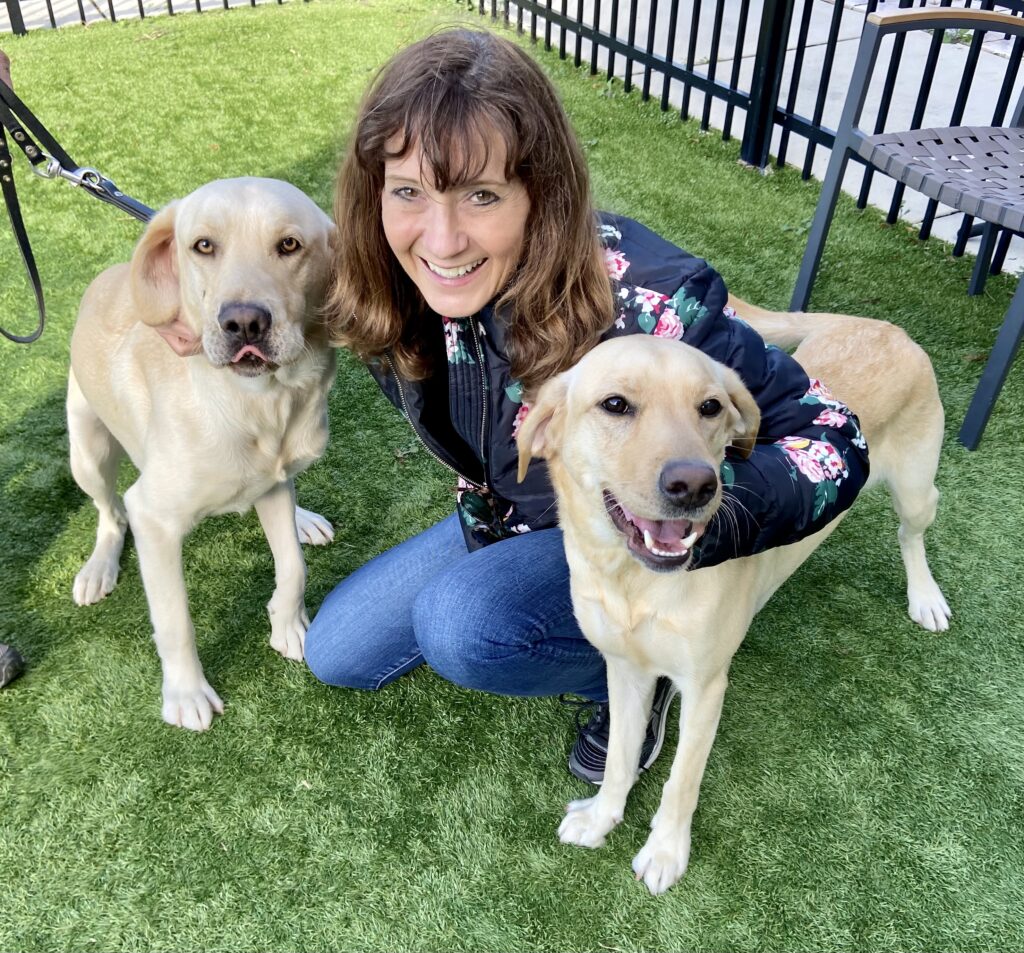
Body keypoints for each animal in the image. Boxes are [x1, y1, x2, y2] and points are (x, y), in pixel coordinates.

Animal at [69, 177, 339, 728]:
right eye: (204, 246)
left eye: (289, 245)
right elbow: (175, 621)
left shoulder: (272, 483)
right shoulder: (153, 517)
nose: (244, 323)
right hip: (86, 448)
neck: (258, 402)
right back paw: (98, 568)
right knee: (109, 512)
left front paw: (290, 626)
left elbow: (293, 567)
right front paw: (186, 694)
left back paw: (304, 519)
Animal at [520, 302, 950, 892]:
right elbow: (619, 760)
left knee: (913, 532)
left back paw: (925, 596)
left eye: (710, 407)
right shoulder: (624, 669)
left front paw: (665, 852)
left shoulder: (705, 687)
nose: (695, 485)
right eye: (615, 404)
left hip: (915, 488)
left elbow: (682, 778)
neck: (632, 581)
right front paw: (601, 818)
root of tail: (884, 326)